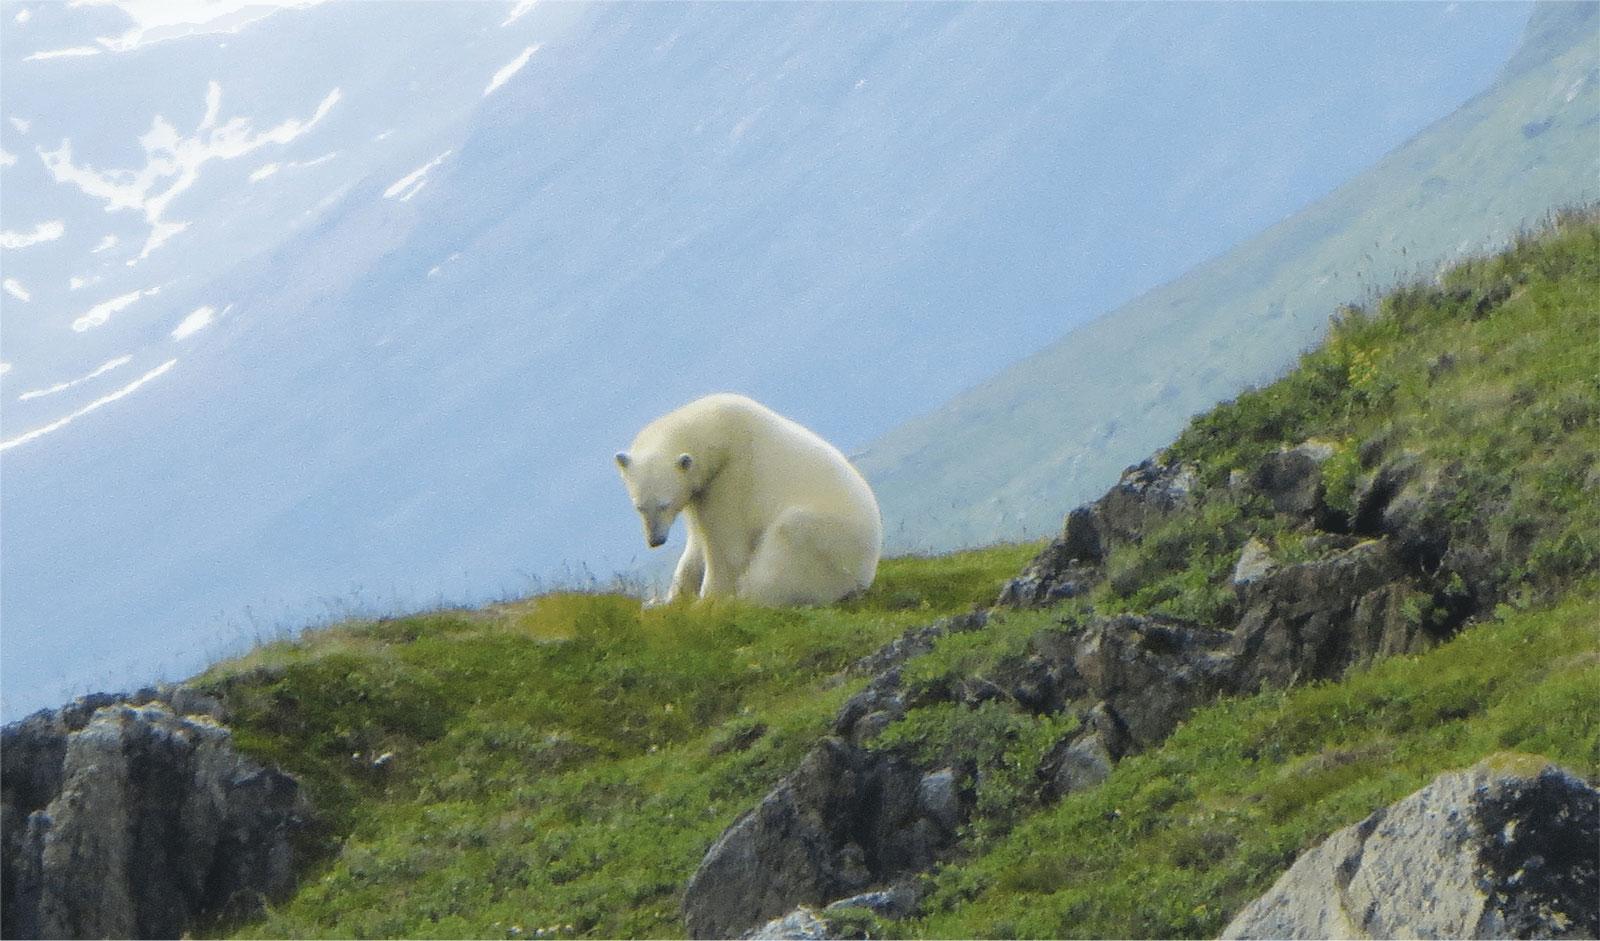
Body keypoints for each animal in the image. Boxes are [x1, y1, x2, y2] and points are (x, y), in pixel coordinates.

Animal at [614, 393, 889, 604]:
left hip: (830, 543)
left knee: (786, 548)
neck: (720, 430)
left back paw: (747, 595)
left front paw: (708, 602)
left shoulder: (732, 479)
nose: (655, 540)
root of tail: (865, 574)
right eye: (639, 507)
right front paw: (667, 600)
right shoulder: (700, 491)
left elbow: (726, 548)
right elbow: (696, 545)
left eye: (664, 504)